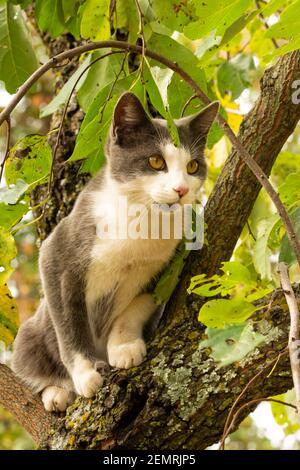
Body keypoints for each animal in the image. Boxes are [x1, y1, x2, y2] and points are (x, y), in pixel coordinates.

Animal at [11, 92, 218, 412]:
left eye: (193, 166)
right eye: (156, 161)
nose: (181, 190)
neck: (142, 219)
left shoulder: (168, 268)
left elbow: (139, 305)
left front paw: (124, 347)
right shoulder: (58, 253)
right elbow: (69, 323)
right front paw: (86, 373)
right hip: (31, 334)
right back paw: (57, 393)